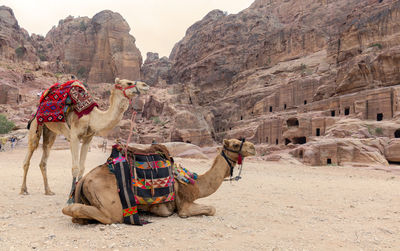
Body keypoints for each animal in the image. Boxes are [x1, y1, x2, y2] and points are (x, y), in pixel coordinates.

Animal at [20, 78, 149, 200]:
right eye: (128, 83)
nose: (145, 85)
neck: (91, 117)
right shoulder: (74, 137)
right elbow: (76, 168)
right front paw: (70, 197)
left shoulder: (88, 139)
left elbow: (82, 168)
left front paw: (78, 195)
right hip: (36, 124)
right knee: (29, 154)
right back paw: (23, 190)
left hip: (50, 131)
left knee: (44, 156)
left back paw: (48, 191)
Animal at [62, 138, 256, 225]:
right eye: (235, 144)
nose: (253, 147)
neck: (193, 184)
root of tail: (84, 179)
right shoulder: (184, 204)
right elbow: (211, 209)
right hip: (111, 205)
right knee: (105, 216)